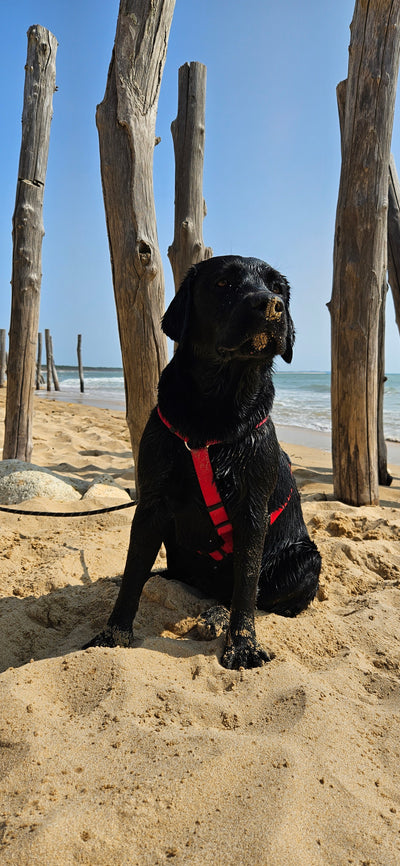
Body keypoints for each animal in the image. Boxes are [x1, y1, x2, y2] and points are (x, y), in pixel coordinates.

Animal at [87, 255, 322, 668]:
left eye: (277, 288)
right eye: (223, 283)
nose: (271, 305)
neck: (215, 409)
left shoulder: (252, 512)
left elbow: (246, 587)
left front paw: (243, 647)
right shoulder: (152, 505)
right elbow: (133, 574)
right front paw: (113, 635)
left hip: (306, 560)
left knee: (253, 596)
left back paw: (218, 615)